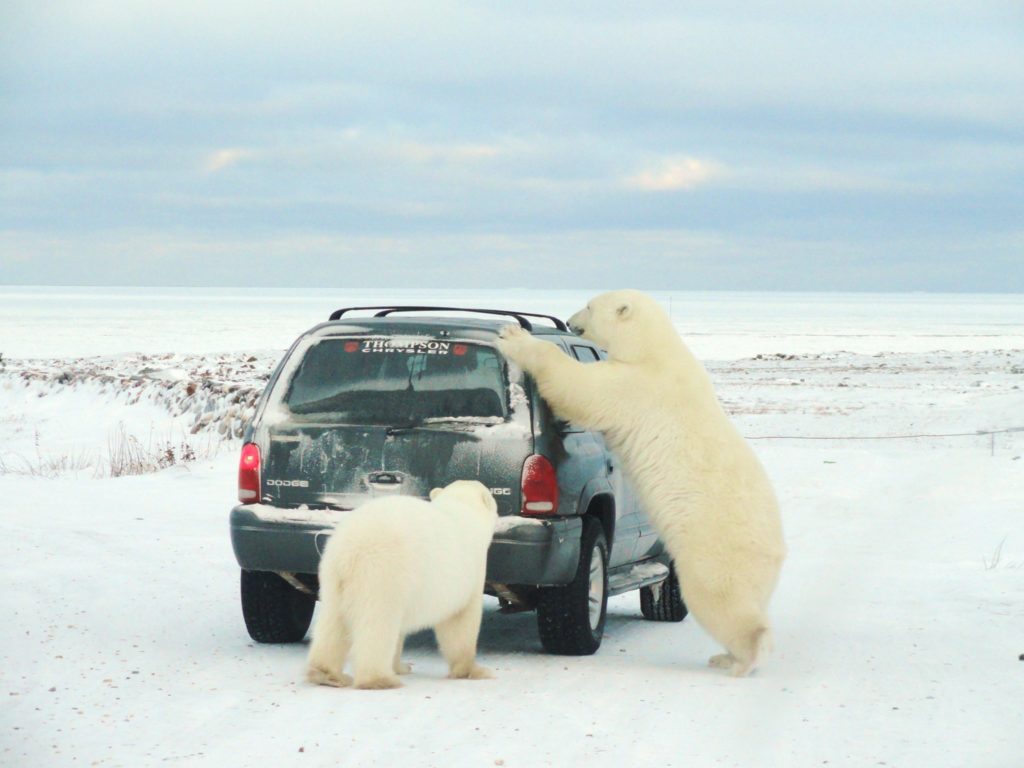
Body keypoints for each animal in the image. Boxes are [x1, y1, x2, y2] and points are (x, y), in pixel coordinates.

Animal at [306, 479, 498, 689]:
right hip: (382, 573)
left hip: (333, 577)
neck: (462, 510)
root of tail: (348, 552)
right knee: (378, 623)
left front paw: (401, 666)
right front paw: (475, 670)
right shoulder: (469, 571)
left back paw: (327, 674)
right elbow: (460, 622)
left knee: (333, 622)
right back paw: (380, 680)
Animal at [496, 289, 785, 677]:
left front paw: (513, 336)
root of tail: (775, 551)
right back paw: (728, 655)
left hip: (716, 553)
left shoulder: (636, 385)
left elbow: (580, 388)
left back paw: (736, 659)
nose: (570, 321)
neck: (654, 348)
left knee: (722, 603)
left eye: (590, 305)